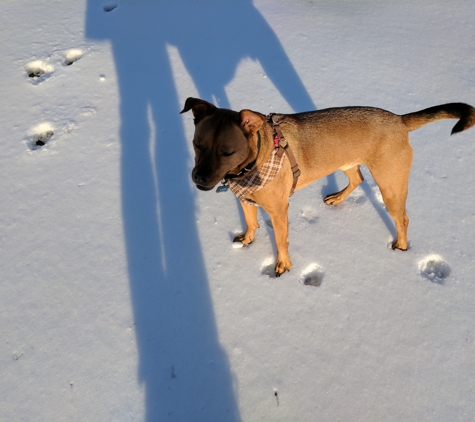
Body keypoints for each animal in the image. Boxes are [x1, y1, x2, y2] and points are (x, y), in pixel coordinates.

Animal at [180, 99, 474, 276]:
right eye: (197, 144)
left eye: (227, 152)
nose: (199, 178)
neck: (249, 166)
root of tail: (399, 120)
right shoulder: (246, 199)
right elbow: (251, 222)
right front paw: (248, 239)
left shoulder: (278, 210)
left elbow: (281, 240)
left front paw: (283, 264)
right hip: (347, 162)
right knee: (357, 179)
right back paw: (337, 198)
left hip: (390, 183)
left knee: (402, 218)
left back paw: (401, 247)